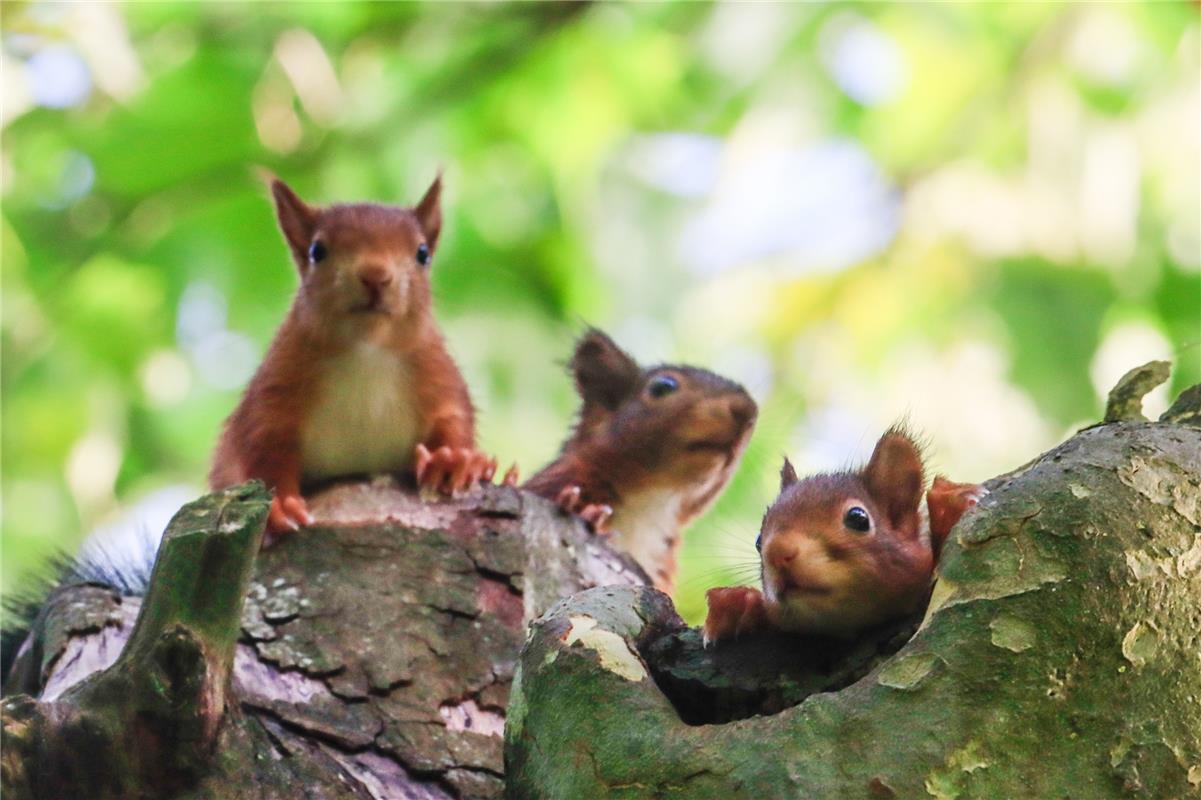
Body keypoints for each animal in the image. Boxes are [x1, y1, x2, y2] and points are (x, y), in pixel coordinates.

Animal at [208, 176, 494, 535]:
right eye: (317, 251)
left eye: (423, 253)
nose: (375, 276)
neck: (366, 354)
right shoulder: (277, 384)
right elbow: (262, 440)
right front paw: (281, 503)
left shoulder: (436, 371)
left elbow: (453, 416)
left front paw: (453, 459)